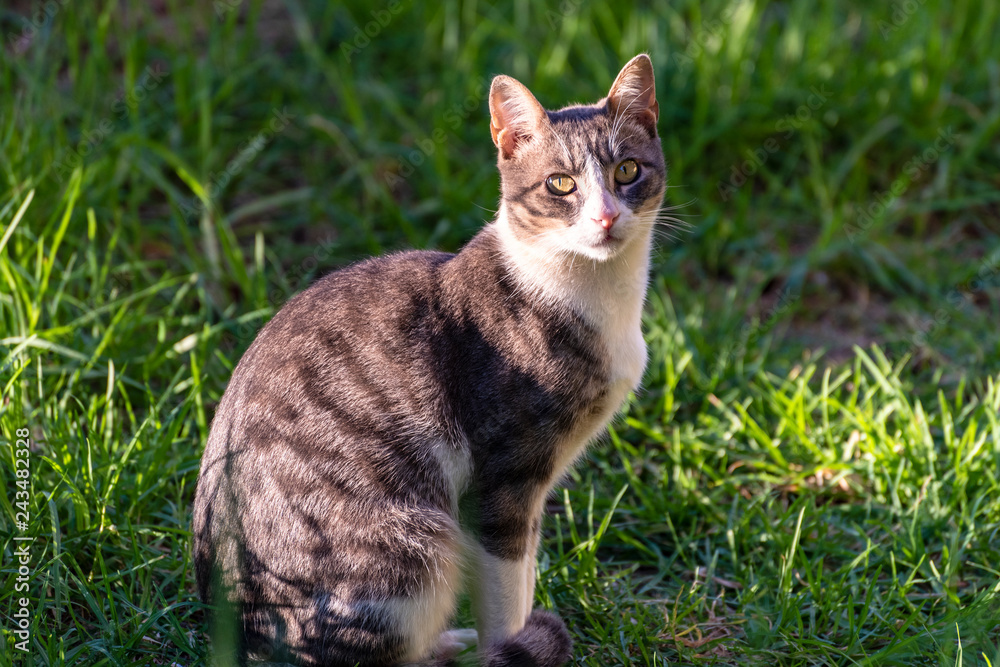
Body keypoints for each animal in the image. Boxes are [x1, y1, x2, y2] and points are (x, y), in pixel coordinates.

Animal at [192, 53, 668, 667]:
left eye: (627, 171)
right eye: (561, 184)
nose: (606, 219)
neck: (591, 295)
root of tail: (236, 638)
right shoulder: (504, 480)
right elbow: (507, 595)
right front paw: (511, 645)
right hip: (415, 545)